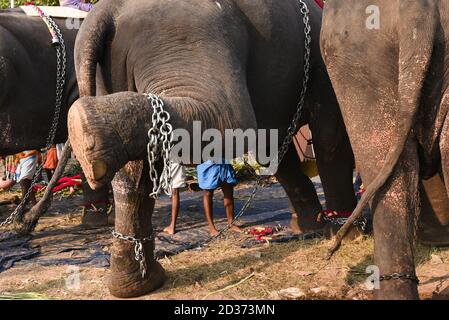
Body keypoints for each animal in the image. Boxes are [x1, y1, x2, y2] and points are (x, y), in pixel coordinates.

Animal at [66, 0, 358, 298]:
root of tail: (107, 11)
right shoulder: (325, 68)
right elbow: (329, 136)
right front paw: (344, 232)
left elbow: (273, 147)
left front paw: (310, 226)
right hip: (185, 36)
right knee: (230, 115)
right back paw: (83, 126)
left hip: (115, 72)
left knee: (135, 173)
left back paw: (139, 282)